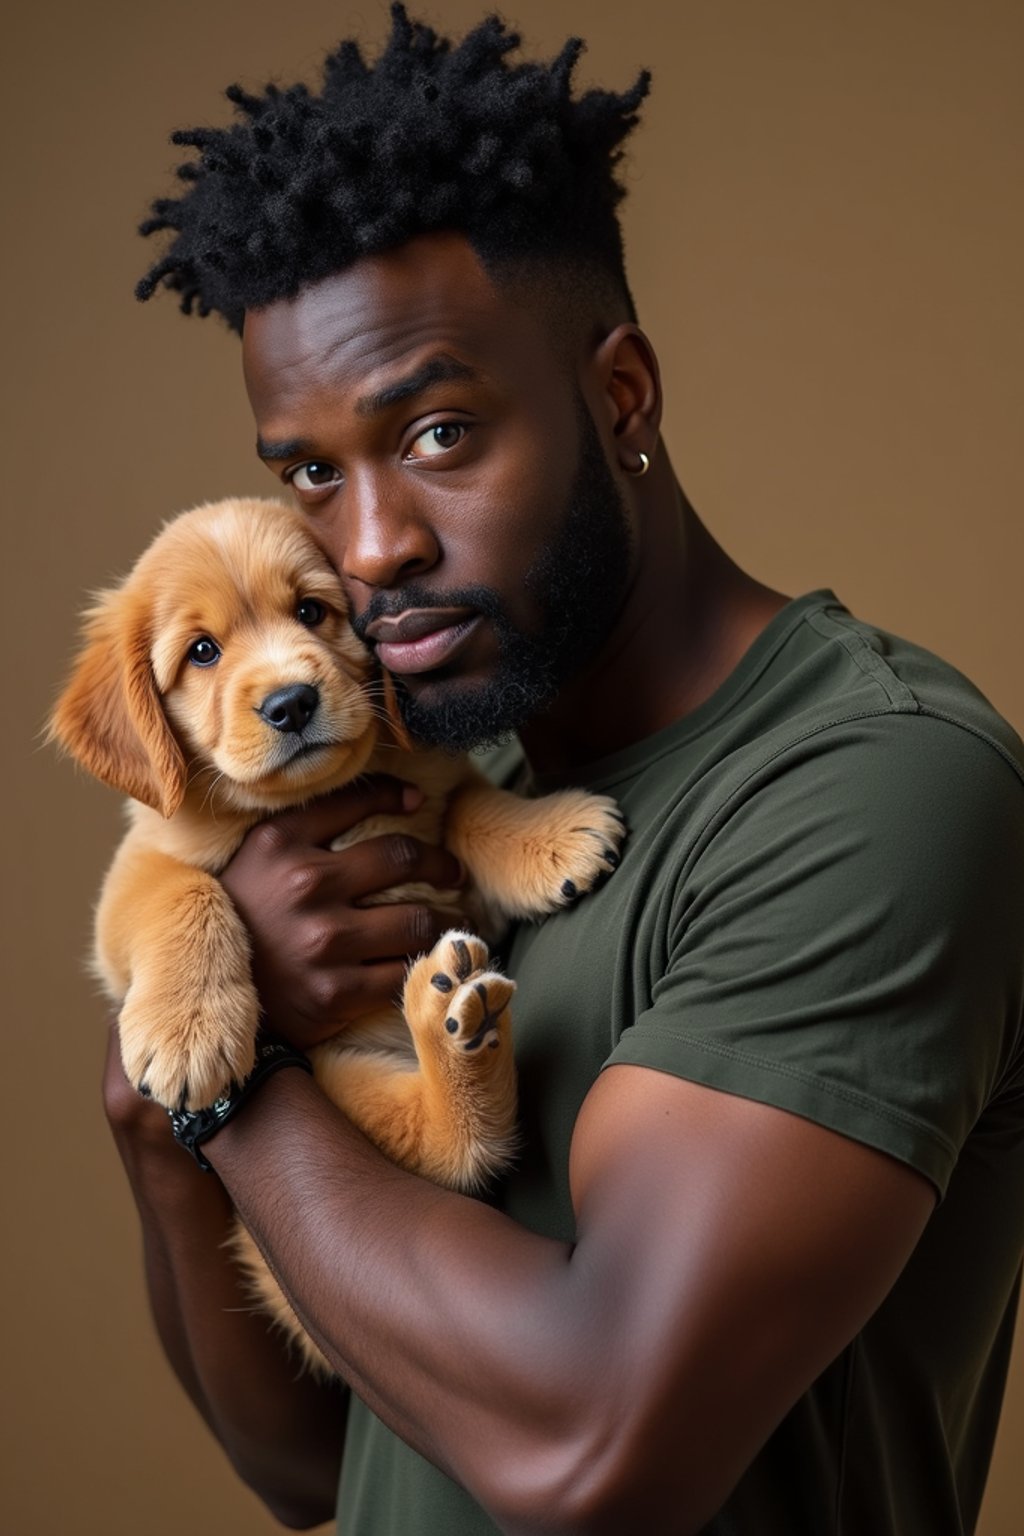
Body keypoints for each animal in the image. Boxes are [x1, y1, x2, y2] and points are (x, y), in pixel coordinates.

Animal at [52, 494, 626, 1370]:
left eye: (312, 612)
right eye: (202, 652)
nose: (291, 703)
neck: (315, 803)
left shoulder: (435, 805)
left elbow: (470, 805)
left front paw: (551, 835)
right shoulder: (137, 868)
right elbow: (185, 894)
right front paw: (189, 1031)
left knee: (460, 1150)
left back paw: (455, 1022)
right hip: (334, 1079)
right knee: (451, 1150)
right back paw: (451, 1022)